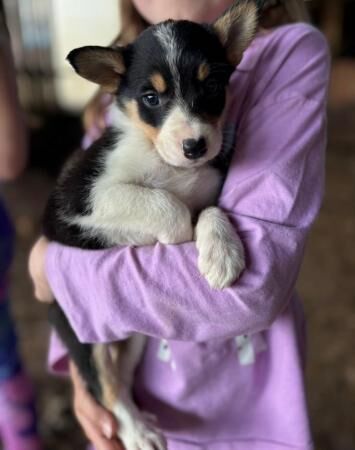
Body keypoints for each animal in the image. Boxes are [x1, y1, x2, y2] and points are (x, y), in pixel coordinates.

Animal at [45, 1, 258, 448]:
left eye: (212, 87)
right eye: (151, 97)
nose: (195, 146)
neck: (168, 162)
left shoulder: (210, 189)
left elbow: (209, 211)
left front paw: (222, 254)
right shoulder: (84, 197)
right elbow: (167, 206)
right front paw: (174, 234)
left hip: (135, 338)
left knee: (122, 378)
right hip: (78, 331)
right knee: (107, 388)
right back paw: (138, 431)